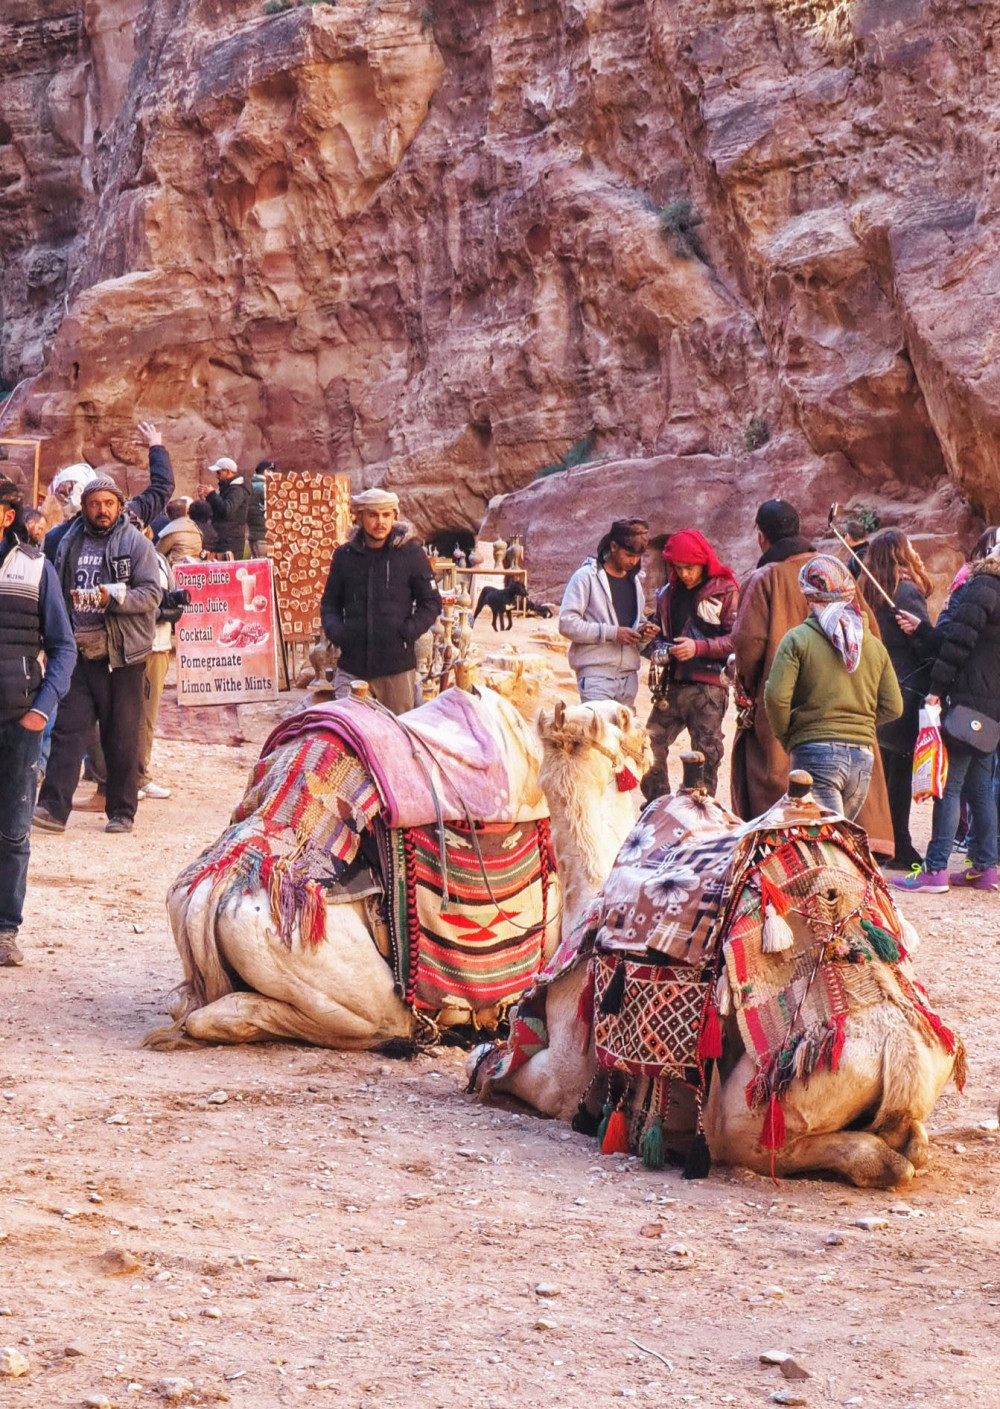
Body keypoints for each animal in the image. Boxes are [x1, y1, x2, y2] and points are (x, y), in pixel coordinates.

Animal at [473, 766, 969, 1183]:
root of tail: (901, 1053)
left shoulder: (567, 1074)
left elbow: (511, 1072)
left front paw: (481, 1060)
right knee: (914, 1143)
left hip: (769, 1102)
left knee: (748, 1140)